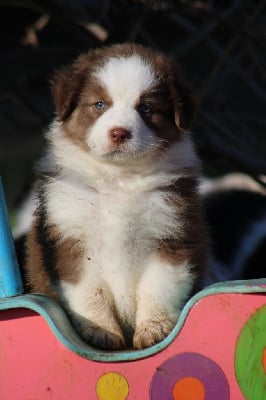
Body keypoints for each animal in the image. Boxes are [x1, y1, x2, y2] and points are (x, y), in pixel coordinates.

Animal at [23, 43, 206, 350]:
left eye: (146, 108)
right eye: (100, 105)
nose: (119, 133)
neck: (119, 178)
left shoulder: (171, 232)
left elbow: (158, 285)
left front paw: (154, 329)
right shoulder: (69, 235)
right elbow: (89, 291)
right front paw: (101, 332)